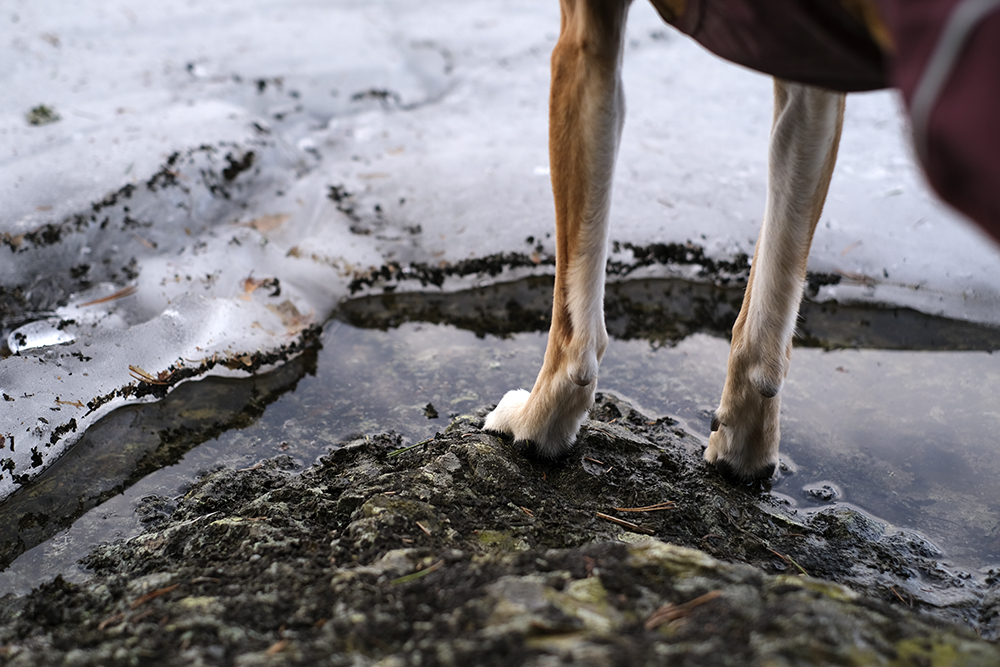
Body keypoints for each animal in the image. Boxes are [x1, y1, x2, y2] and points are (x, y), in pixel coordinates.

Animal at [484, 0, 1000, 480]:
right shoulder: (809, 69)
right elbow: (767, 327)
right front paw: (746, 448)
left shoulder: (582, 39)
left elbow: (574, 320)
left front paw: (536, 424)